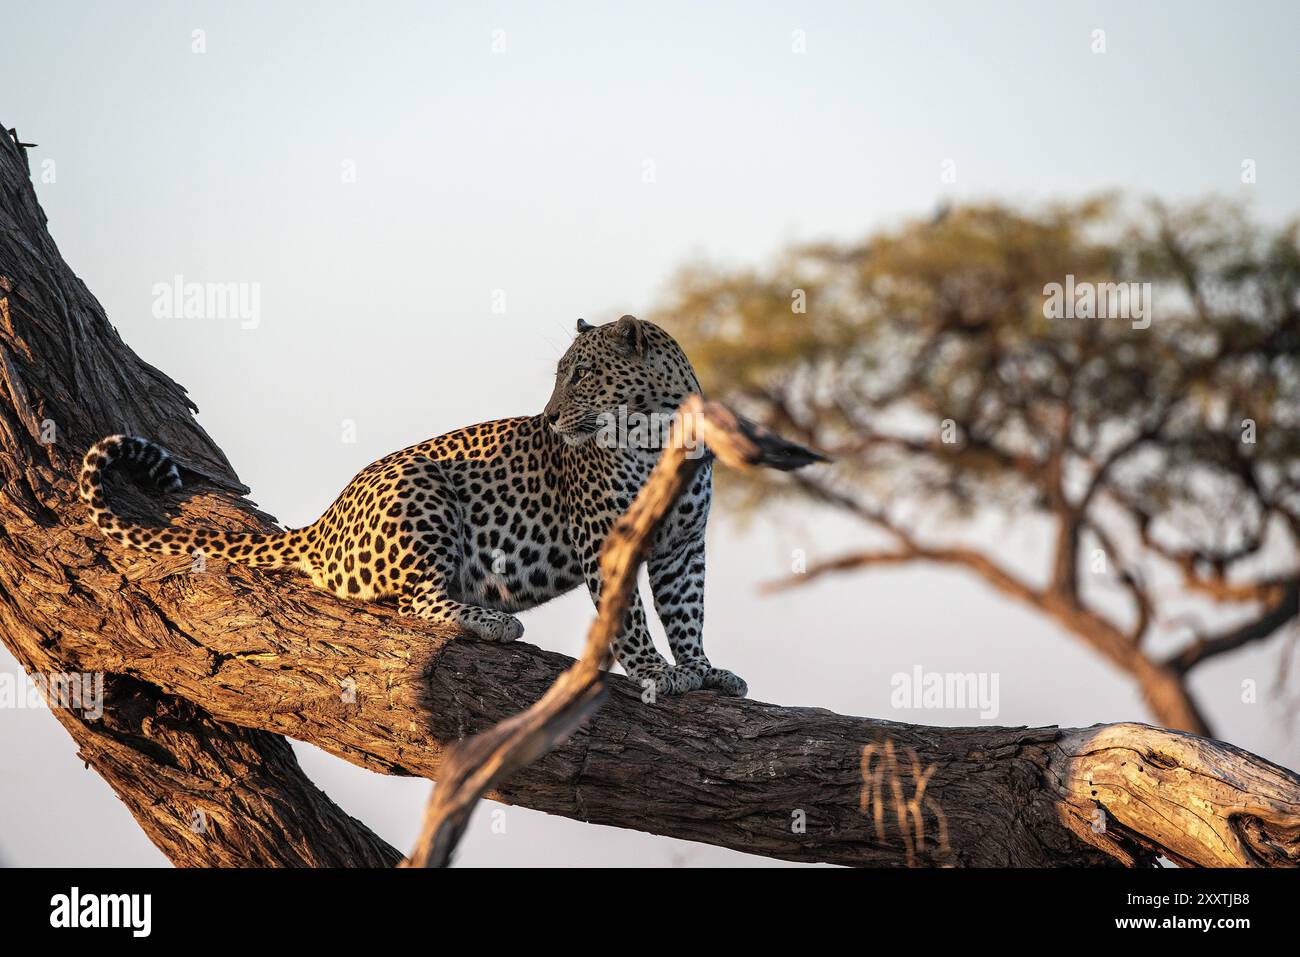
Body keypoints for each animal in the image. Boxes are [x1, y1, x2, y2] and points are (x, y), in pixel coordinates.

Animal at [81, 314, 748, 696]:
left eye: (581, 375)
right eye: (563, 374)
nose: (552, 418)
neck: (659, 434)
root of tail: (323, 522)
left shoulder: (683, 546)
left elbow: (688, 612)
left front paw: (704, 668)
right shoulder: (611, 541)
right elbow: (629, 619)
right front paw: (655, 673)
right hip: (419, 487)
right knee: (416, 602)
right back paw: (491, 620)